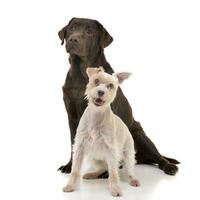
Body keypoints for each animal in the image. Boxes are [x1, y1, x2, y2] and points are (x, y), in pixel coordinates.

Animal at [57, 18, 179, 176]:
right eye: (71, 29)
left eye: (89, 32)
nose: (73, 39)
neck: (81, 72)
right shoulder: (72, 116)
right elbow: (74, 143)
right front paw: (71, 166)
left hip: (139, 134)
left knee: (158, 156)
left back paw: (168, 166)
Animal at [63, 67, 140, 197]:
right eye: (96, 81)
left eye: (110, 86)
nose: (101, 92)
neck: (96, 114)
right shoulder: (80, 146)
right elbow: (75, 169)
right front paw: (70, 185)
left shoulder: (111, 149)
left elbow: (113, 173)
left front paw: (115, 189)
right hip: (94, 157)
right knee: (103, 168)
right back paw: (92, 174)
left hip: (128, 154)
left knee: (128, 169)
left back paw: (133, 179)